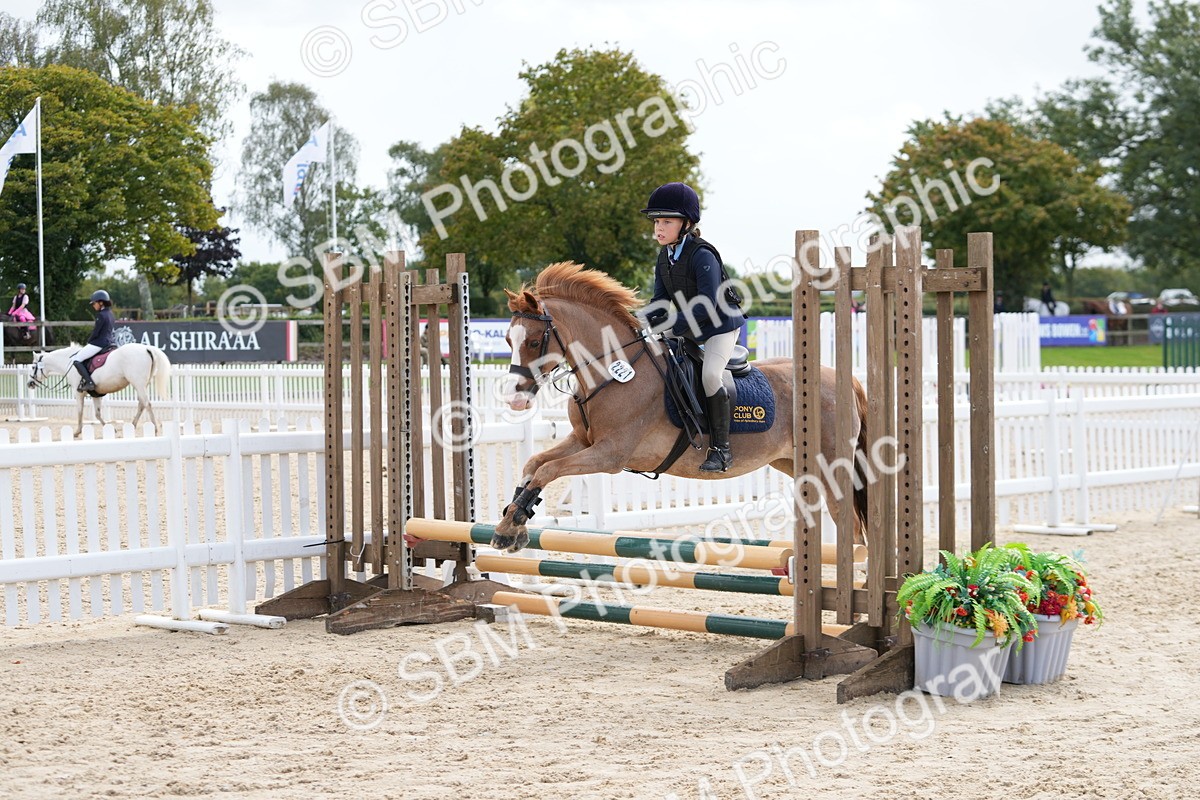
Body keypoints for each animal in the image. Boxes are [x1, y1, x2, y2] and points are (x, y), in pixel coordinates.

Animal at [28, 343, 172, 437]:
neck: (68, 362)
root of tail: (146, 348)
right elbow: (97, 414)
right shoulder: (96, 394)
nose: (29, 384)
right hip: (142, 384)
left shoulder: (78, 393)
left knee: (147, 404)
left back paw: (155, 429)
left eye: (33, 367)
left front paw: (77, 432)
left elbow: (80, 412)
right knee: (142, 404)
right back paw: (133, 425)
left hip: (138, 383)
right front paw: (111, 429)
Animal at [493, 261, 869, 552]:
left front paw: (513, 522)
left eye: (533, 341)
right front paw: (512, 522)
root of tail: (846, 379)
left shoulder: (610, 454)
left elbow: (548, 470)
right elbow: (534, 464)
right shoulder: (583, 442)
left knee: (852, 528)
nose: (515, 398)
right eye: (508, 340)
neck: (614, 372)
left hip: (829, 466)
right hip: (793, 464)